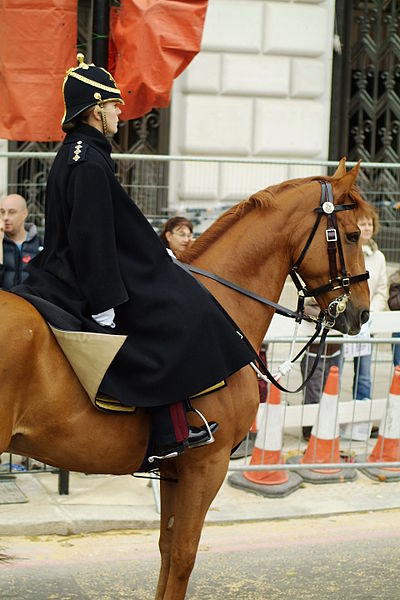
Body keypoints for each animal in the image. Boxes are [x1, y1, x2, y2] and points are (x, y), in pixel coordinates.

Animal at [0, 161, 368, 600]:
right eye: (352, 235)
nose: (363, 312)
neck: (226, 309)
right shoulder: (207, 465)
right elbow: (183, 556)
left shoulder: (175, 470)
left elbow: (165, 549)